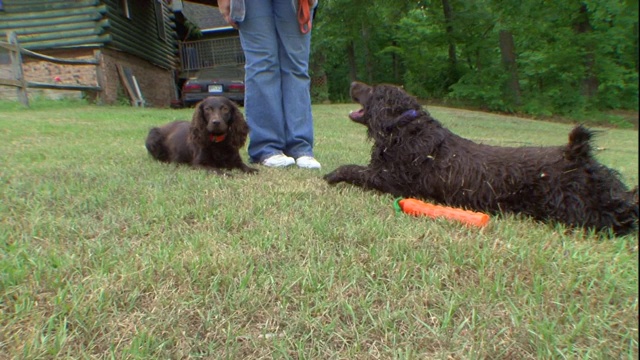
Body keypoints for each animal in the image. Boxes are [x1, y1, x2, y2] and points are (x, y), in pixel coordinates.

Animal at [328, 81, 636, 236]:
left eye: (373, 90)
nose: (353, 82)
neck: (404, 126)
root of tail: (576, 154)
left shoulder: (391, 180)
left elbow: (352, 169)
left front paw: (332, 175)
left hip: (571, 211)